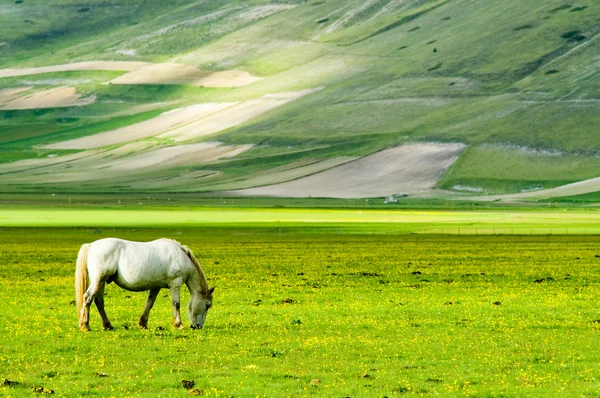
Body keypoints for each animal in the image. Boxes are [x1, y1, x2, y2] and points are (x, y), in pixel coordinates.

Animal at [75, 238, 214, 332]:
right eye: (208, 305)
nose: (197, 326)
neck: (180, 256)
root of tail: (90, 246)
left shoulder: (155, 287)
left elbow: (149, 303)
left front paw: (143, 323)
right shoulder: (175, 283)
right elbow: (176, 304)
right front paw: (178, 324)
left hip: (101, 281)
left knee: (98, 302)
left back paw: (107, 325)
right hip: (98, 280)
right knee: (87, 298)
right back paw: (85, 325)